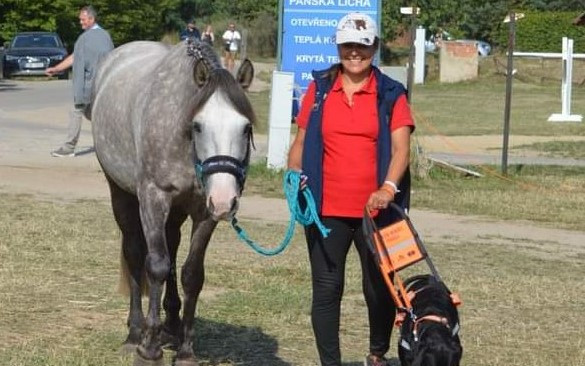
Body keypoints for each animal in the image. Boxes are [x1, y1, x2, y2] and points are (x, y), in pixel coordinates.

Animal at [90, 38, 253, 364]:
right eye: (198, 125)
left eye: (246, 127)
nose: (225, 200)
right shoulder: (153, 198)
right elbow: (156, 266)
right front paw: (149, 348)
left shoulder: (204, 211)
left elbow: (192, 274)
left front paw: (187, 350)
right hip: (122, 194)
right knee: (135, 252)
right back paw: (135, 332)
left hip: (178, 211)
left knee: (173, 247)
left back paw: (173, 326)